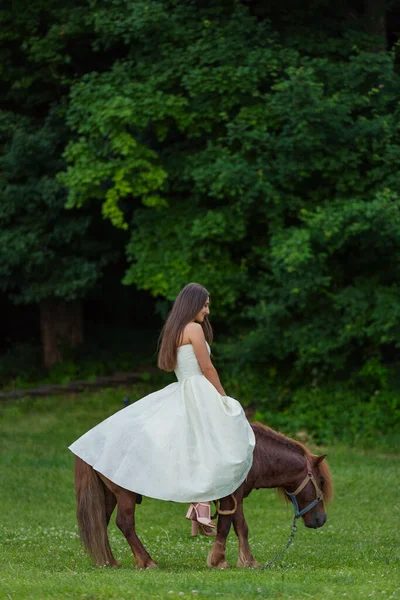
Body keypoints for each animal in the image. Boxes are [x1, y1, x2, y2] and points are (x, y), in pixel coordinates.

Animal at [73, 420, 332, 568]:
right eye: (320, 481)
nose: (321, 519)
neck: (254, 453)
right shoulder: (232, 495)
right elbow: (230, 527)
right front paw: (223, 561)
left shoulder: (235, 496)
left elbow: (237, 526)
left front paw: (241, 560)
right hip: (125, 495)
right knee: (125, 523)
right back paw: (146, 561)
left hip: (109, 494)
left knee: (102, 522)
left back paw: (109, 561)